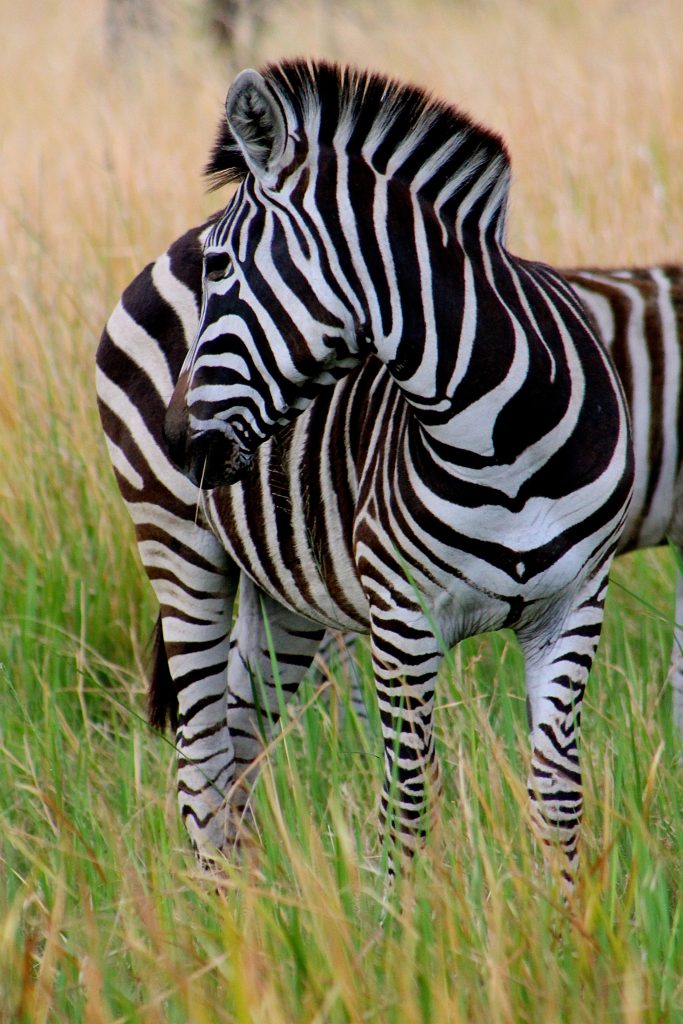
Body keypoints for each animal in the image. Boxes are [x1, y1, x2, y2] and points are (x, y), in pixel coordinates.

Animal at [158, 59, 633, 885]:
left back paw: (255, 904)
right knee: (201, 762)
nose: (178, 438)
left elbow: (556, 795)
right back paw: (216, 911)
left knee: (240, 742)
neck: (504, 437)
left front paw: (567, 914)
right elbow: (408, 797)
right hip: (177, 551)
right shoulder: (402, 613)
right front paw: (394, 918)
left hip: (285, 593)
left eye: (221, 266)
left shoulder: (573, 602)